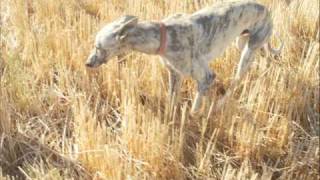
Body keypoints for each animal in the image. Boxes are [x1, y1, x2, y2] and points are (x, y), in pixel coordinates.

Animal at [85, 0, 282, 114]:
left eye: (98, 47)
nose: (87, 63)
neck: (163, 35)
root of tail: (267, 9)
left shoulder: (207, 77)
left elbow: (194, 109)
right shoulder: (175, 74)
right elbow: (172, 100)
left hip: (247, 52)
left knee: (237, 80)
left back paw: (219, 105)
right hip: (243, 43)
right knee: (263, 57)